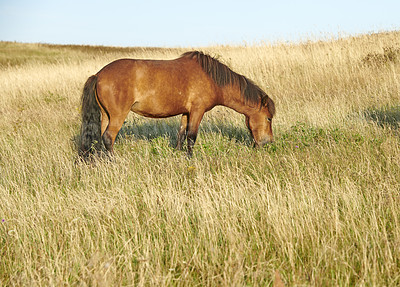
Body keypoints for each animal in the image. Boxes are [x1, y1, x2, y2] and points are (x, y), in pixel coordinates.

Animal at [80, 51, 276, 160]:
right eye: (268, 118)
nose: (268, 142)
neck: (212, 78)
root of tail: (99, 75)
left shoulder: (186, 113)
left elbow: (181, 134)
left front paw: (178, 155)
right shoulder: (197, 111)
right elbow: (191, 136)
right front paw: (190, 159)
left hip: (106, 115)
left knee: (101, 137)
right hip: (118, 115)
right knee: (108, 137)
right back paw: (114, 161)